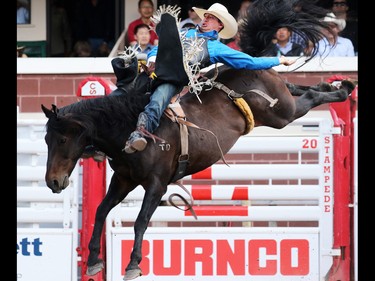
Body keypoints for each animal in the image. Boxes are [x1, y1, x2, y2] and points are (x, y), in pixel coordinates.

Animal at [41, 1, 356, 278]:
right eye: (46, 140)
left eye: (63, 140)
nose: (52, 182)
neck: (125, 126)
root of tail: (252, 67)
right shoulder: (123, 179)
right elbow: (100, 211)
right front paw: (94, 262)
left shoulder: (156, 184)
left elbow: (141, 221)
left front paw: (132, 265)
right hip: (283, 101)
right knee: (299, 87)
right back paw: (336, 83)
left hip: (283, 114)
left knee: (309, 96)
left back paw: (341, 90)